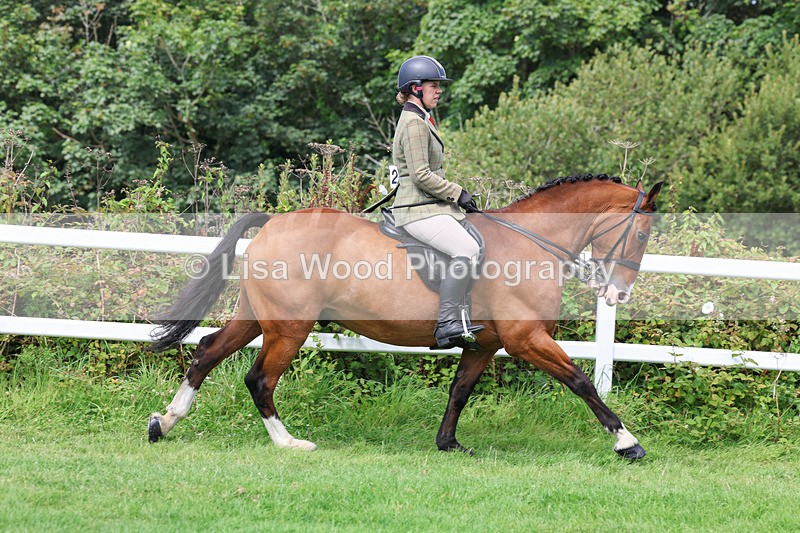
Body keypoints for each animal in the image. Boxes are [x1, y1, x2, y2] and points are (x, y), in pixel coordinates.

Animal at [147, 174, 663, 460]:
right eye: (641, 235)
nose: (616, 293)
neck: (529, 242)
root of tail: (274, 222)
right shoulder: (525, 338)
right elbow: (581, 382)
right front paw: (627, 443)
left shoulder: (485, 343)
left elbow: (459, 391)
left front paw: (448, 445)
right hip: (290, 328)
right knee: (259, 379)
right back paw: (289, 443)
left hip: (259, 318)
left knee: (207, 351)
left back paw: (164, 423)